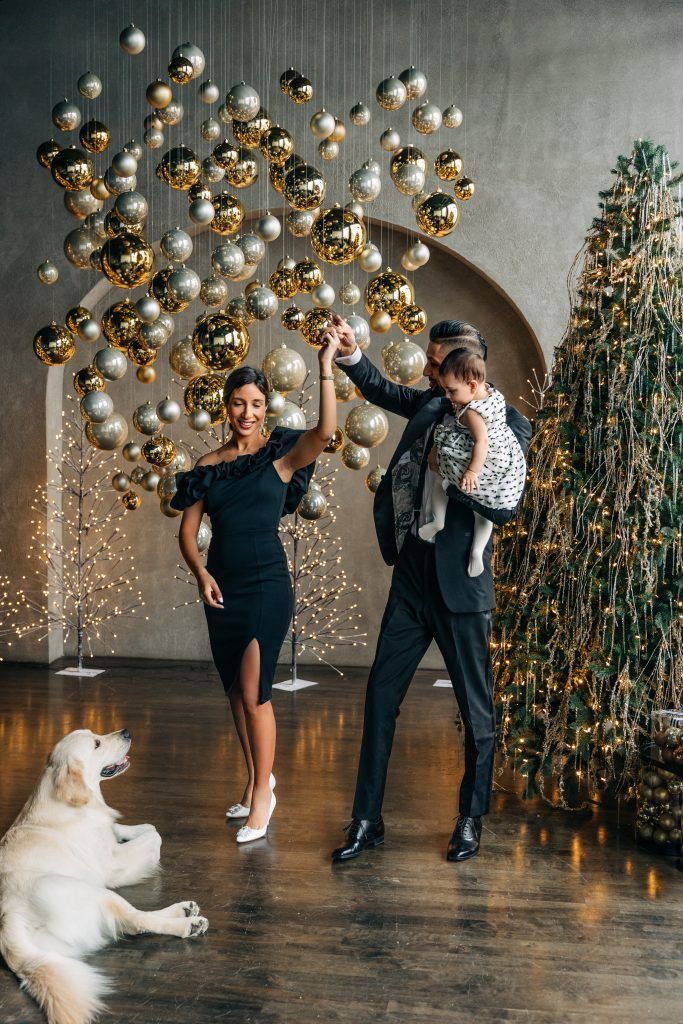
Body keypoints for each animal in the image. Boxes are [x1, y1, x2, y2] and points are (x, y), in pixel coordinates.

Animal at [0, 729, 208, 1024]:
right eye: (97, 743)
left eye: (95, 734)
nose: (127, 732)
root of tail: (9, 920)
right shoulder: (111, 865)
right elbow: (155, 836)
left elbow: (138, 827)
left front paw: (129, 828)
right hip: (96, 892)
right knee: (136, 921)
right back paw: (187, 923)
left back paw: (184, 910)